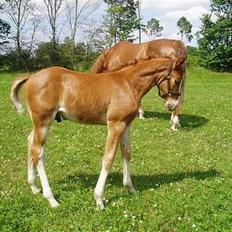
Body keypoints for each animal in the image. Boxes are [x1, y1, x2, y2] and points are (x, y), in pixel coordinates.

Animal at [10, 55, 186, 208]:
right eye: (177, 80)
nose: (172, 106)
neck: (128, 84)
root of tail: (31, 77)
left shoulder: (126, 124)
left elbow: (127, 153)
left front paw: (130, 188)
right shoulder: (115, 124)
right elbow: (108, 158)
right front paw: (99, 199)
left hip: (39, 123)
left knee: (30, 142)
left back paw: (34, 187)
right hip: (43, 121)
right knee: (38, 152)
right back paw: (51, 199)